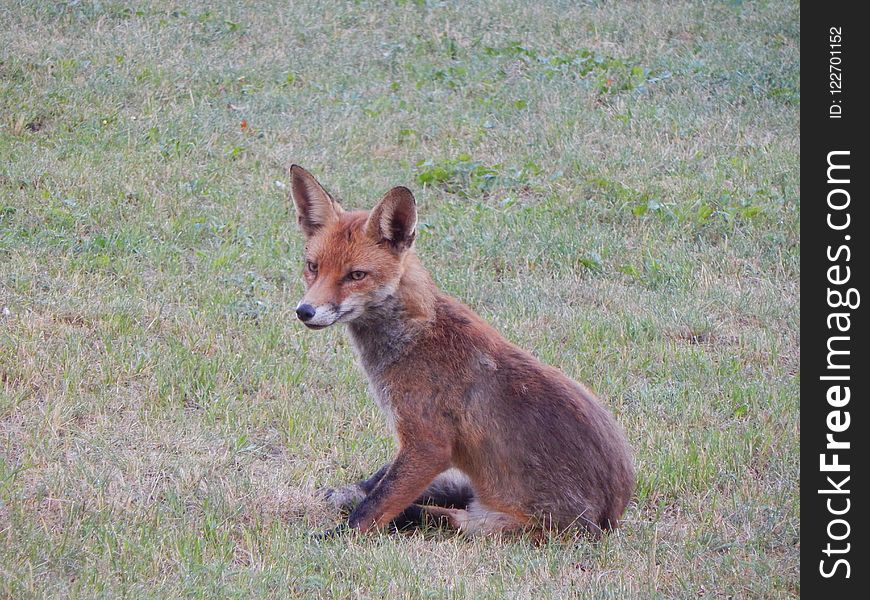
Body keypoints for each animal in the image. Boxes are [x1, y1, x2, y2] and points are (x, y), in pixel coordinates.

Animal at [290, 165, 636, 540]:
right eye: (313, 267)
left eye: (356, 275)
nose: (305, 311)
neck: (414, 336)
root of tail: (610, 518)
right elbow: (376, 489)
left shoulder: (427, 444)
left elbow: (369, 512)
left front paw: (333, 540)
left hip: (489, 524)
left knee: (421, 512)